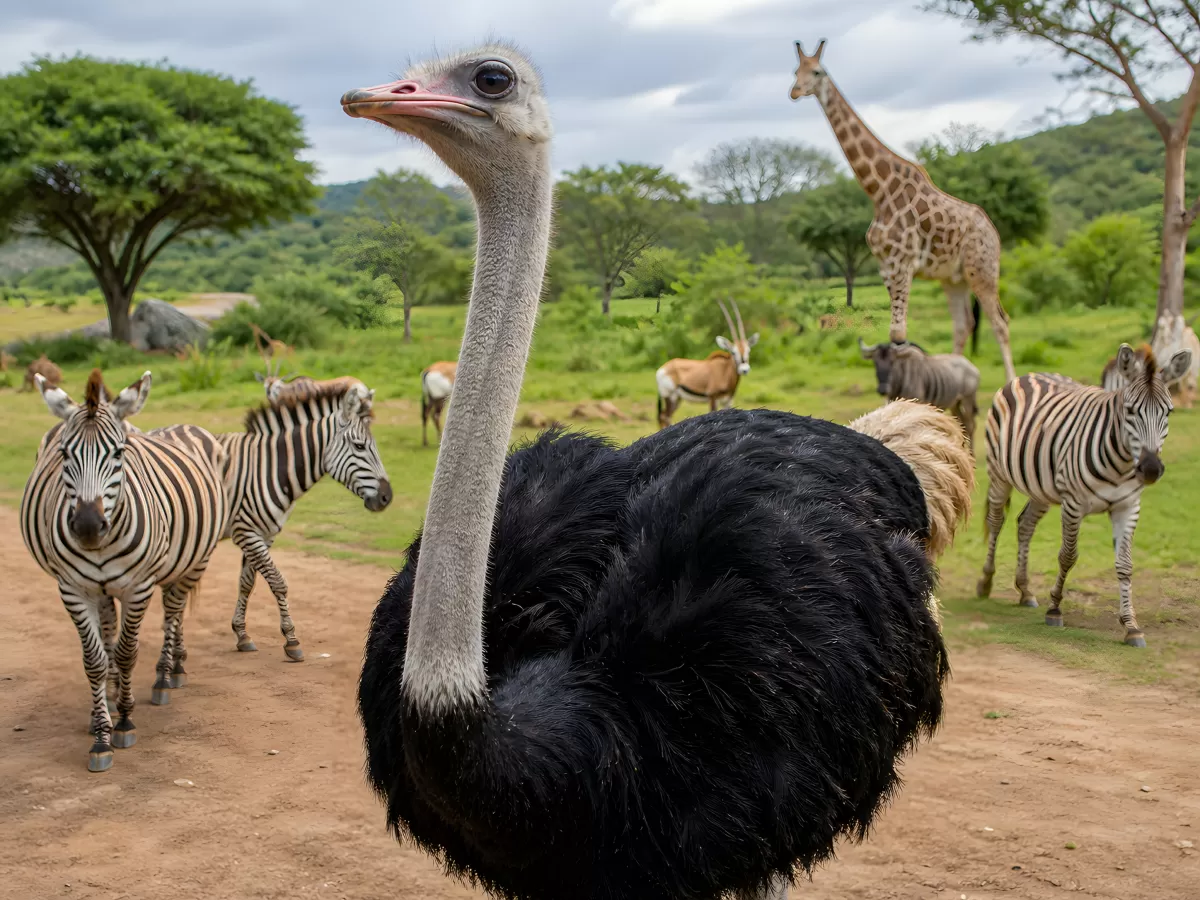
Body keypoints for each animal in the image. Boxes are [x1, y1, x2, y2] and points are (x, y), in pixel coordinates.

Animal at [20, 369, 228, 772]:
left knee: (173, 612)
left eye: (118, 453)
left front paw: (125, 721)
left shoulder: (139, 585)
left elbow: (128, 651)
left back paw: (166, 676)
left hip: (195, 561)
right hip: (105, 587)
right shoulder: (73, 589)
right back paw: (115, 691)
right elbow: (96, 660)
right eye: (64, 454)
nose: (87, 527)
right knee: (111, 630)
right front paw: (101, 733)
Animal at [147, 377, 392, 662]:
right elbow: (278, 581)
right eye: (359, 446)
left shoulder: (264, 533)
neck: (270, 467)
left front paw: (242, 634)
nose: (387, 497)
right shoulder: (245, 531)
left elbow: (247, 583)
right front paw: (291, 640)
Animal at [789, 39, 1017, 384]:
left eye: (817, 72)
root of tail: (994, 231)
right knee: (964, 324)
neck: (878, 190)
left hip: (983, 269)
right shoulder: (885, 265)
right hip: (954, 278)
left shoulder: (903, 262)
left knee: (1000, 322)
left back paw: (1011, 383)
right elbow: (895, 333)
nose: (794, 91)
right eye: (795, 71)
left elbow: (899, 335)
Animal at [977, 343, 1192, 647]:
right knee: (996, 521)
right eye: (1130, 411)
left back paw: (1025, 590)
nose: (1150, 469)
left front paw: (1131, 626)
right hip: (999, 473)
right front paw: (1054, 608)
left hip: (1042, 488)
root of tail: (1030, 374)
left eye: (1169, 412)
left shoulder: (1128, 506)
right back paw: (986, 581)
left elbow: (1125, 564)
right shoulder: (1073, 503)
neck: (1122, 463)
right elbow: (1068, 556)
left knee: (1025, 525)